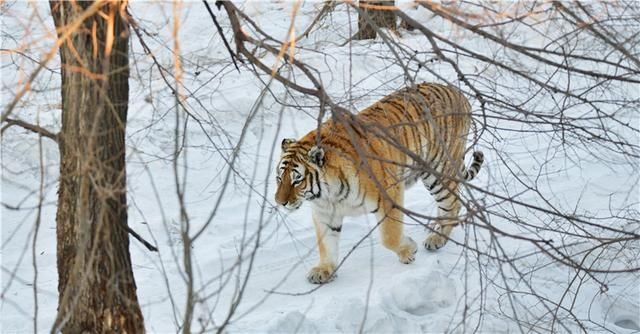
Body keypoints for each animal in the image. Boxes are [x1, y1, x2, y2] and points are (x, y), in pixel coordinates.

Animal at [272, 82, 482, 284]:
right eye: (279, 177)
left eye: (297, 180)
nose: (279, 202)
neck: (329, 194)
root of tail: (457, 91)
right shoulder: (325, 213)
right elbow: (326, 244)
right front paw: (324, 270)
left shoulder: (389, 197)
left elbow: (389, 236)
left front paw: (409, 250)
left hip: (438, 170)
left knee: (452, 205)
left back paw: (437, 238)